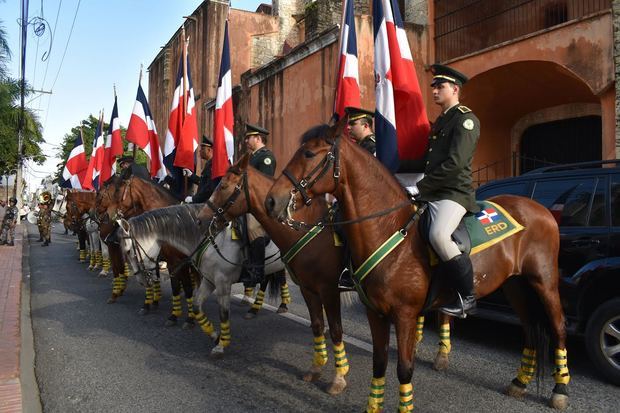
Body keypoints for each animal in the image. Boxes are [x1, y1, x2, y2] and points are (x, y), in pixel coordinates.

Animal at [116, 204, 286, 356]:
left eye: (129, 251)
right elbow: (197, 307)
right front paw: (215, 336)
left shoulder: (223, 283)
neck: (212, 238)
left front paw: (221, 345)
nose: (141, 280)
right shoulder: (209, 281)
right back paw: (255, 309)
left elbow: (223, 313)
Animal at [197, 153, 352, 394]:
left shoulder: (329, 290)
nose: (201, 218)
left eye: (223, 186)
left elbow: (337, 329)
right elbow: (318, 324)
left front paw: (339, 378)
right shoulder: (308, 289)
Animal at [266, 122, 572, 408]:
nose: (272, 200)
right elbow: (379, 363)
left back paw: (560, 390)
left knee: (558, 327)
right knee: (530, 329)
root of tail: (538, 208)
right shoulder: (374, 312)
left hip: (544, 282)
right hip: (515, 285)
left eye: (308, 153)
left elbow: (404, 369)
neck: (388, 228)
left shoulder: (404, 315)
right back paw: (520, 382)